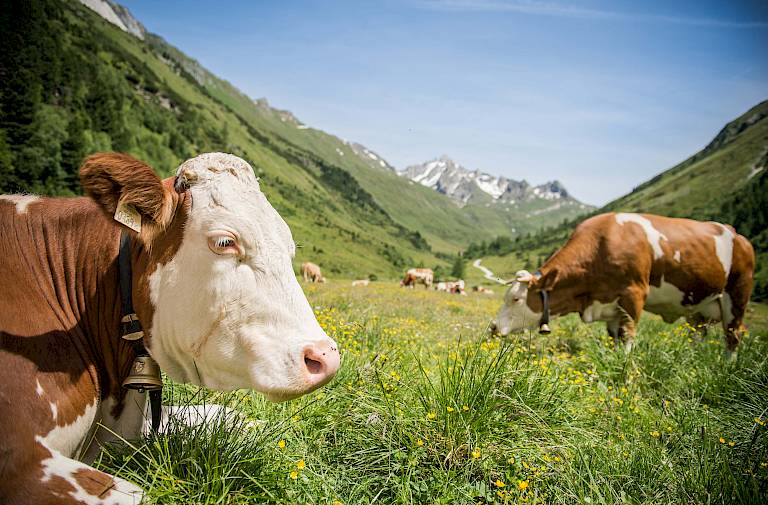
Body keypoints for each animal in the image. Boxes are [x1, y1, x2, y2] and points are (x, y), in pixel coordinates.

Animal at [492, 212, 754, 355]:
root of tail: (736, 234)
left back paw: (728, 367)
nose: (493, 327)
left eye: (516, 298)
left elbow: (627, 335)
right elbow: (614, 337)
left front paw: (625, 365)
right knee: (697, 334)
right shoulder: (610, 305)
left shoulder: (634, 294)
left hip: (737, 294)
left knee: (733, 334)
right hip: (698, 307)